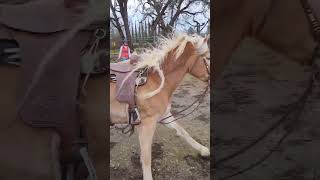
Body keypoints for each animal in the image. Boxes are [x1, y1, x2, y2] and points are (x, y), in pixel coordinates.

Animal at [111, 33, 211, 180]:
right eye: (208, 58)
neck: (156, 80)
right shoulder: (147, 123)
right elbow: (146, 157)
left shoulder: (164, 115)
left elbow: (182, 131)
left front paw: (203, 149)